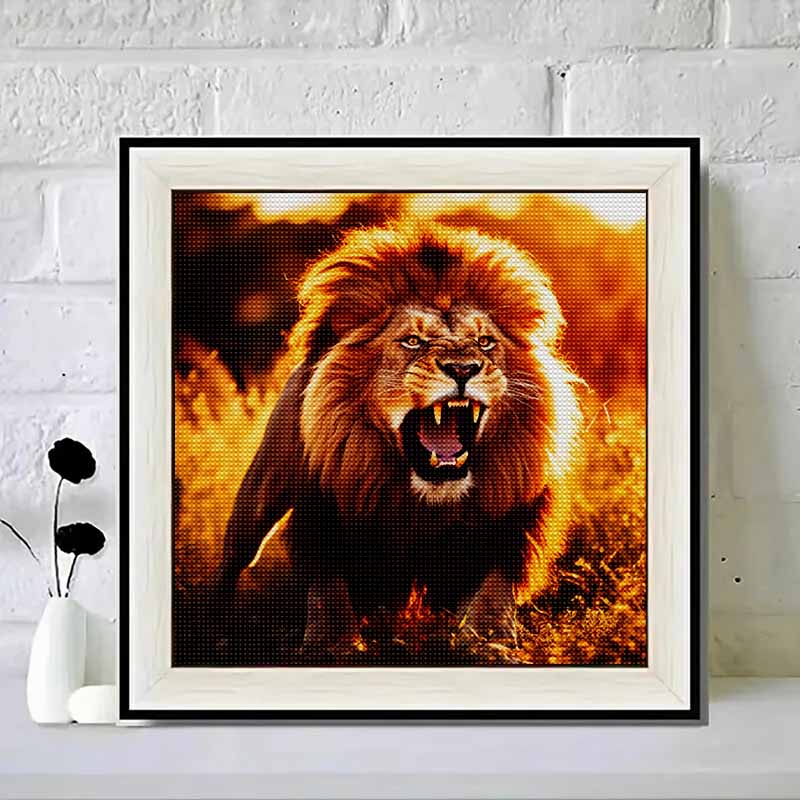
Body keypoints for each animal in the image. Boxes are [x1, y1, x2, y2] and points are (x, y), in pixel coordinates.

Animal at [214, 222, 583, 654]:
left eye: (485, 342)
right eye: (412, 341)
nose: (463, 368)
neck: (426, 496)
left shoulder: (506, 531)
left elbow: (492, 596)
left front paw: (489, 639)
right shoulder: (322, 518)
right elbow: (329, 596)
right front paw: (332, 643)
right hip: (258, 497)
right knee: (233, 560)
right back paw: (215, 626)